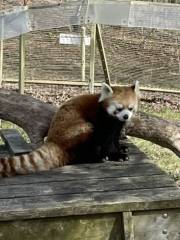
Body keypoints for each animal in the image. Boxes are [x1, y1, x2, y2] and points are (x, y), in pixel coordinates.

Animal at [0, 81, 139, 177]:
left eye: (130, 108)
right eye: (119, 108)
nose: (126, 116)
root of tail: (54, 142)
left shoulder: (117, 125)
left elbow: (115, 138)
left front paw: (121, 147)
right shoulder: (102, 120)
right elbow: (107, 141)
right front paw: (117, 155)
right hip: (78, 130)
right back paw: (96, 157)